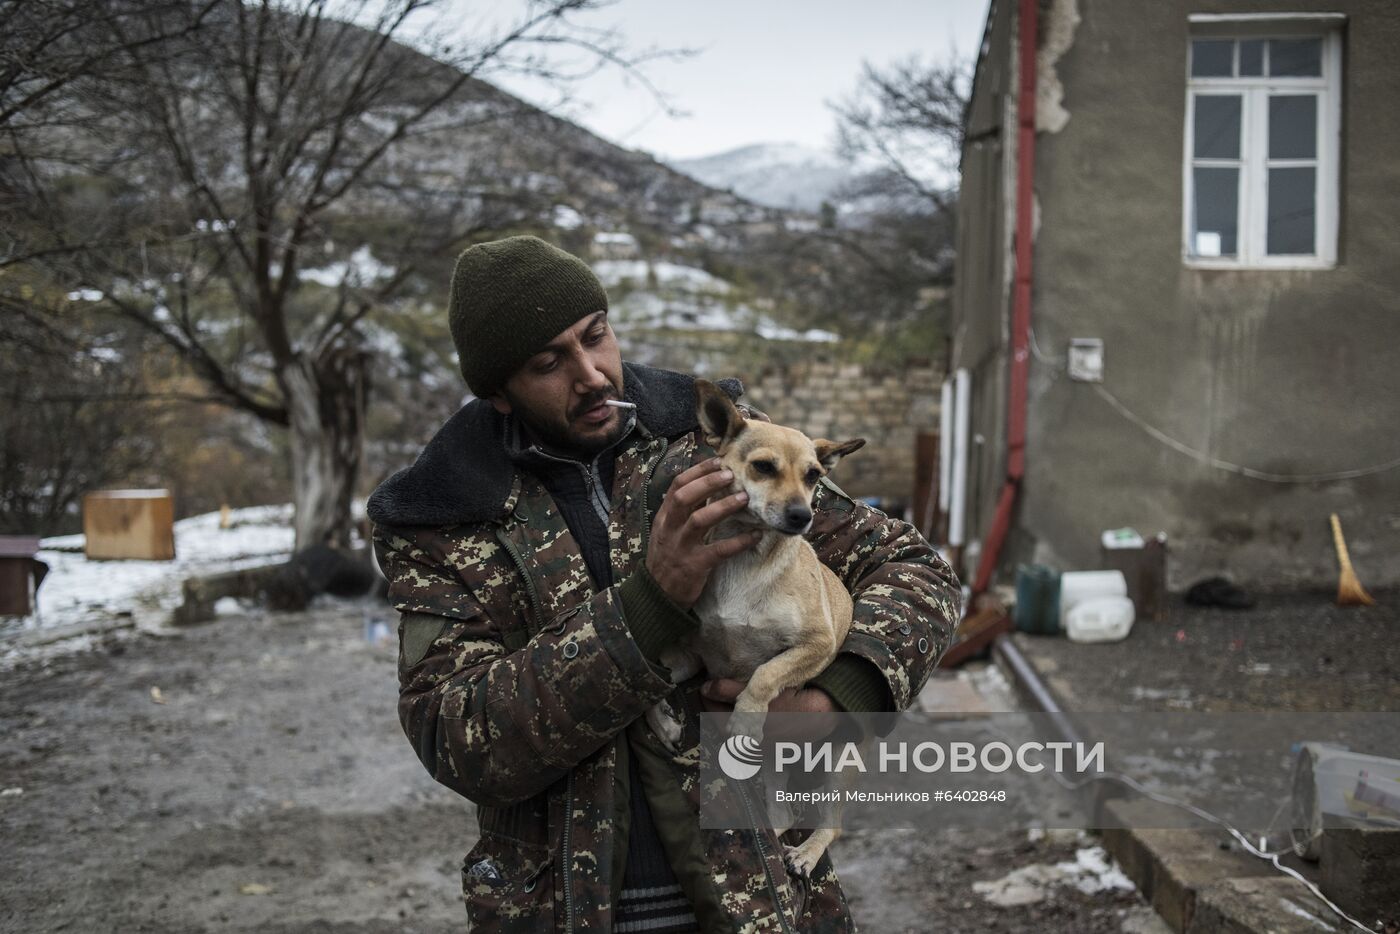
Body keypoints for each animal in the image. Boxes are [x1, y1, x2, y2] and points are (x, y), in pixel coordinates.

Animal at [646, 378, 862, 879]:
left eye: (814, 476)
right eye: (763, 467)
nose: (803, 516)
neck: (743, 558)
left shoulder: (815, 645)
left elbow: (765, 674)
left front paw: (745, 715)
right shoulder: (690, 657)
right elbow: (653, 676)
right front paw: (662, 721)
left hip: (836, 763)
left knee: (830, 824)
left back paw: (805, 854)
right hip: (772, 770)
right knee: (781, 810)